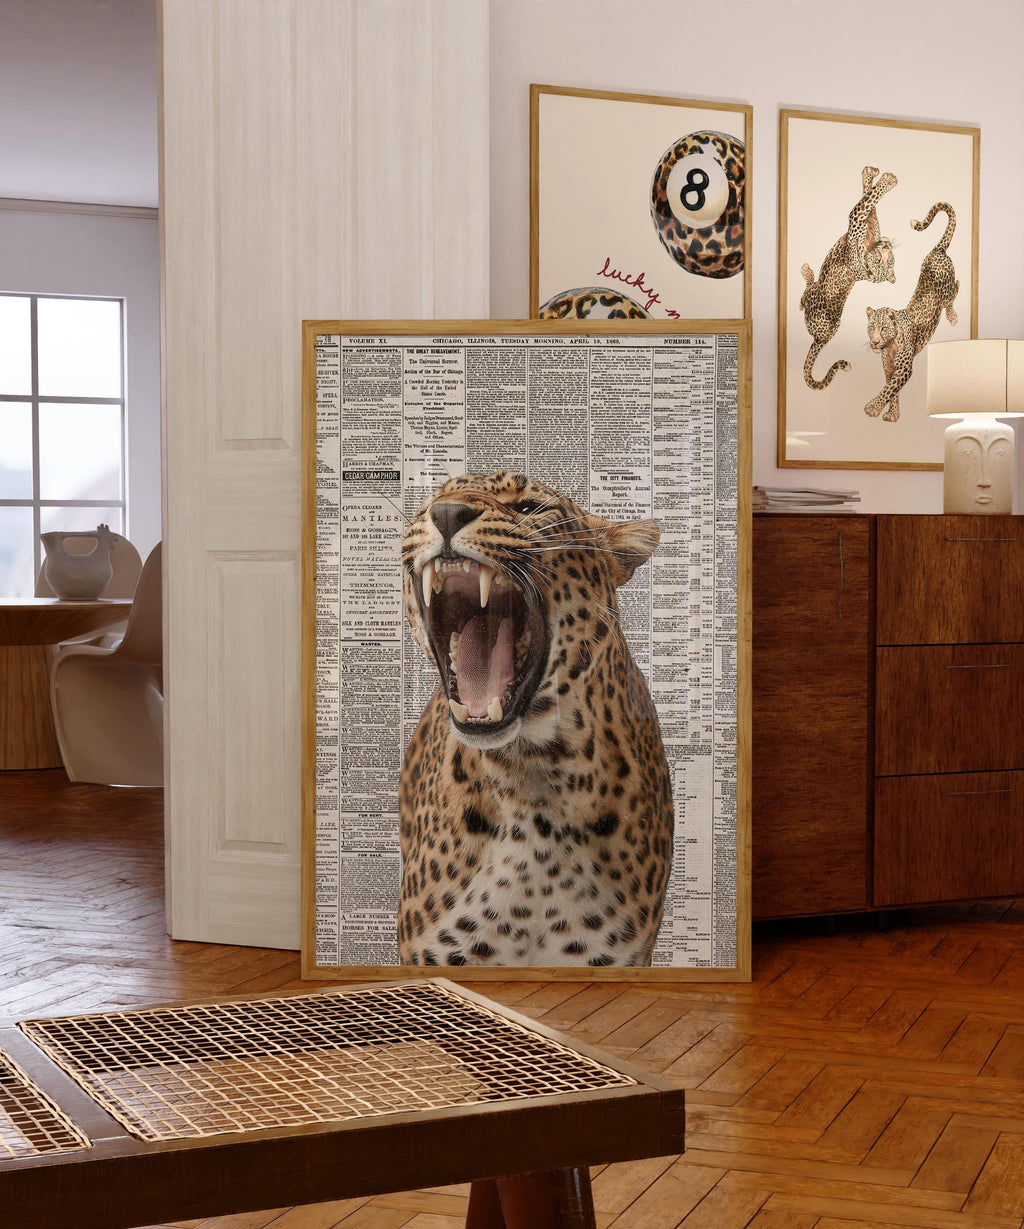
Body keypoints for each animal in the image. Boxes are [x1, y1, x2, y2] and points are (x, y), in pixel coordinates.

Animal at [799, 165, 897, 389]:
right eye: (882, 261)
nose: (886, 246)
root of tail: (821, 339)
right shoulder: (867, 225)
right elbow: (870, 203)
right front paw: (872, 174)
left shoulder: (857, 220)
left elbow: (868, 200)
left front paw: (887, 180)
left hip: (815, 298)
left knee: (805, 295)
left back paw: (807, 273)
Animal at [864, 203, 960, 422]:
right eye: (871, 327)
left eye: (883, 328)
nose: (874, 342)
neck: (890, 345)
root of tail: (937, 250)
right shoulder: (889, 369)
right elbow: (893, 391)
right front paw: (893, 414)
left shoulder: (904, 368)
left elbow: (887, 389)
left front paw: (872, 408)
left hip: (947, 290)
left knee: (956, 289)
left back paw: (953, 316)